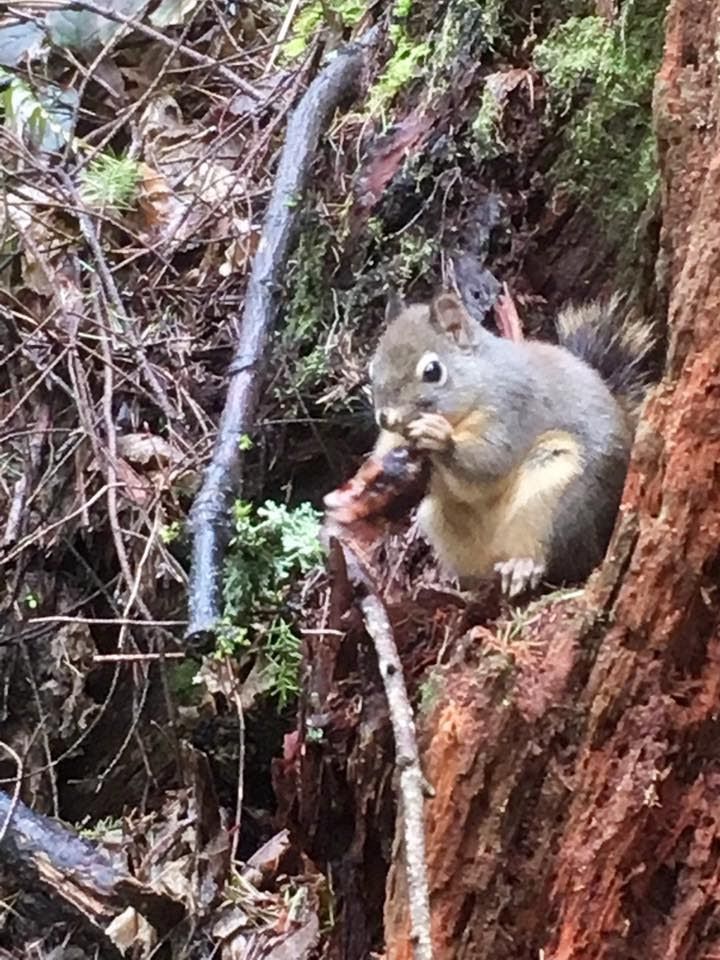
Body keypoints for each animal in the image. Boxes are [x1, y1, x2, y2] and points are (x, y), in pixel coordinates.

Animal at [368, 290, 655, 597]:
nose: (386, 417)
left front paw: (441, 439)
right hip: (438, 522)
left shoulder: (513, 407)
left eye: (432, 371)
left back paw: (522, 566)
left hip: (559, 498)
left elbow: (491, 462)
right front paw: (389, 468)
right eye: (372, 369)